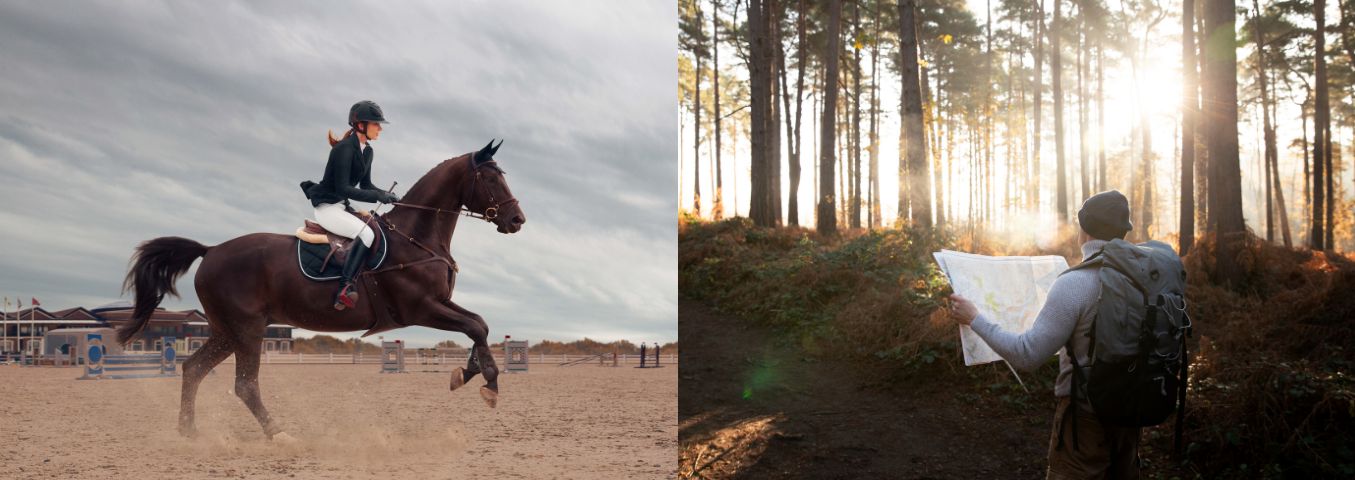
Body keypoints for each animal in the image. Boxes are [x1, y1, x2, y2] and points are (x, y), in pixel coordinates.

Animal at [115, 138, 523, 439]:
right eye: (491, 179)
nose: (517, 219)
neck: (416, 237)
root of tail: (210, 250)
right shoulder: (420, 307)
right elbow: (474, 327)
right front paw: (488, 385)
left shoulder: (440, 302)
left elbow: (480, 325)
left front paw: (466, 374)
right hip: (247, 329)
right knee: (245, 384)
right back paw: (277, 433)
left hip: (226, 330)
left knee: (193, 369)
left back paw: (190, 432)